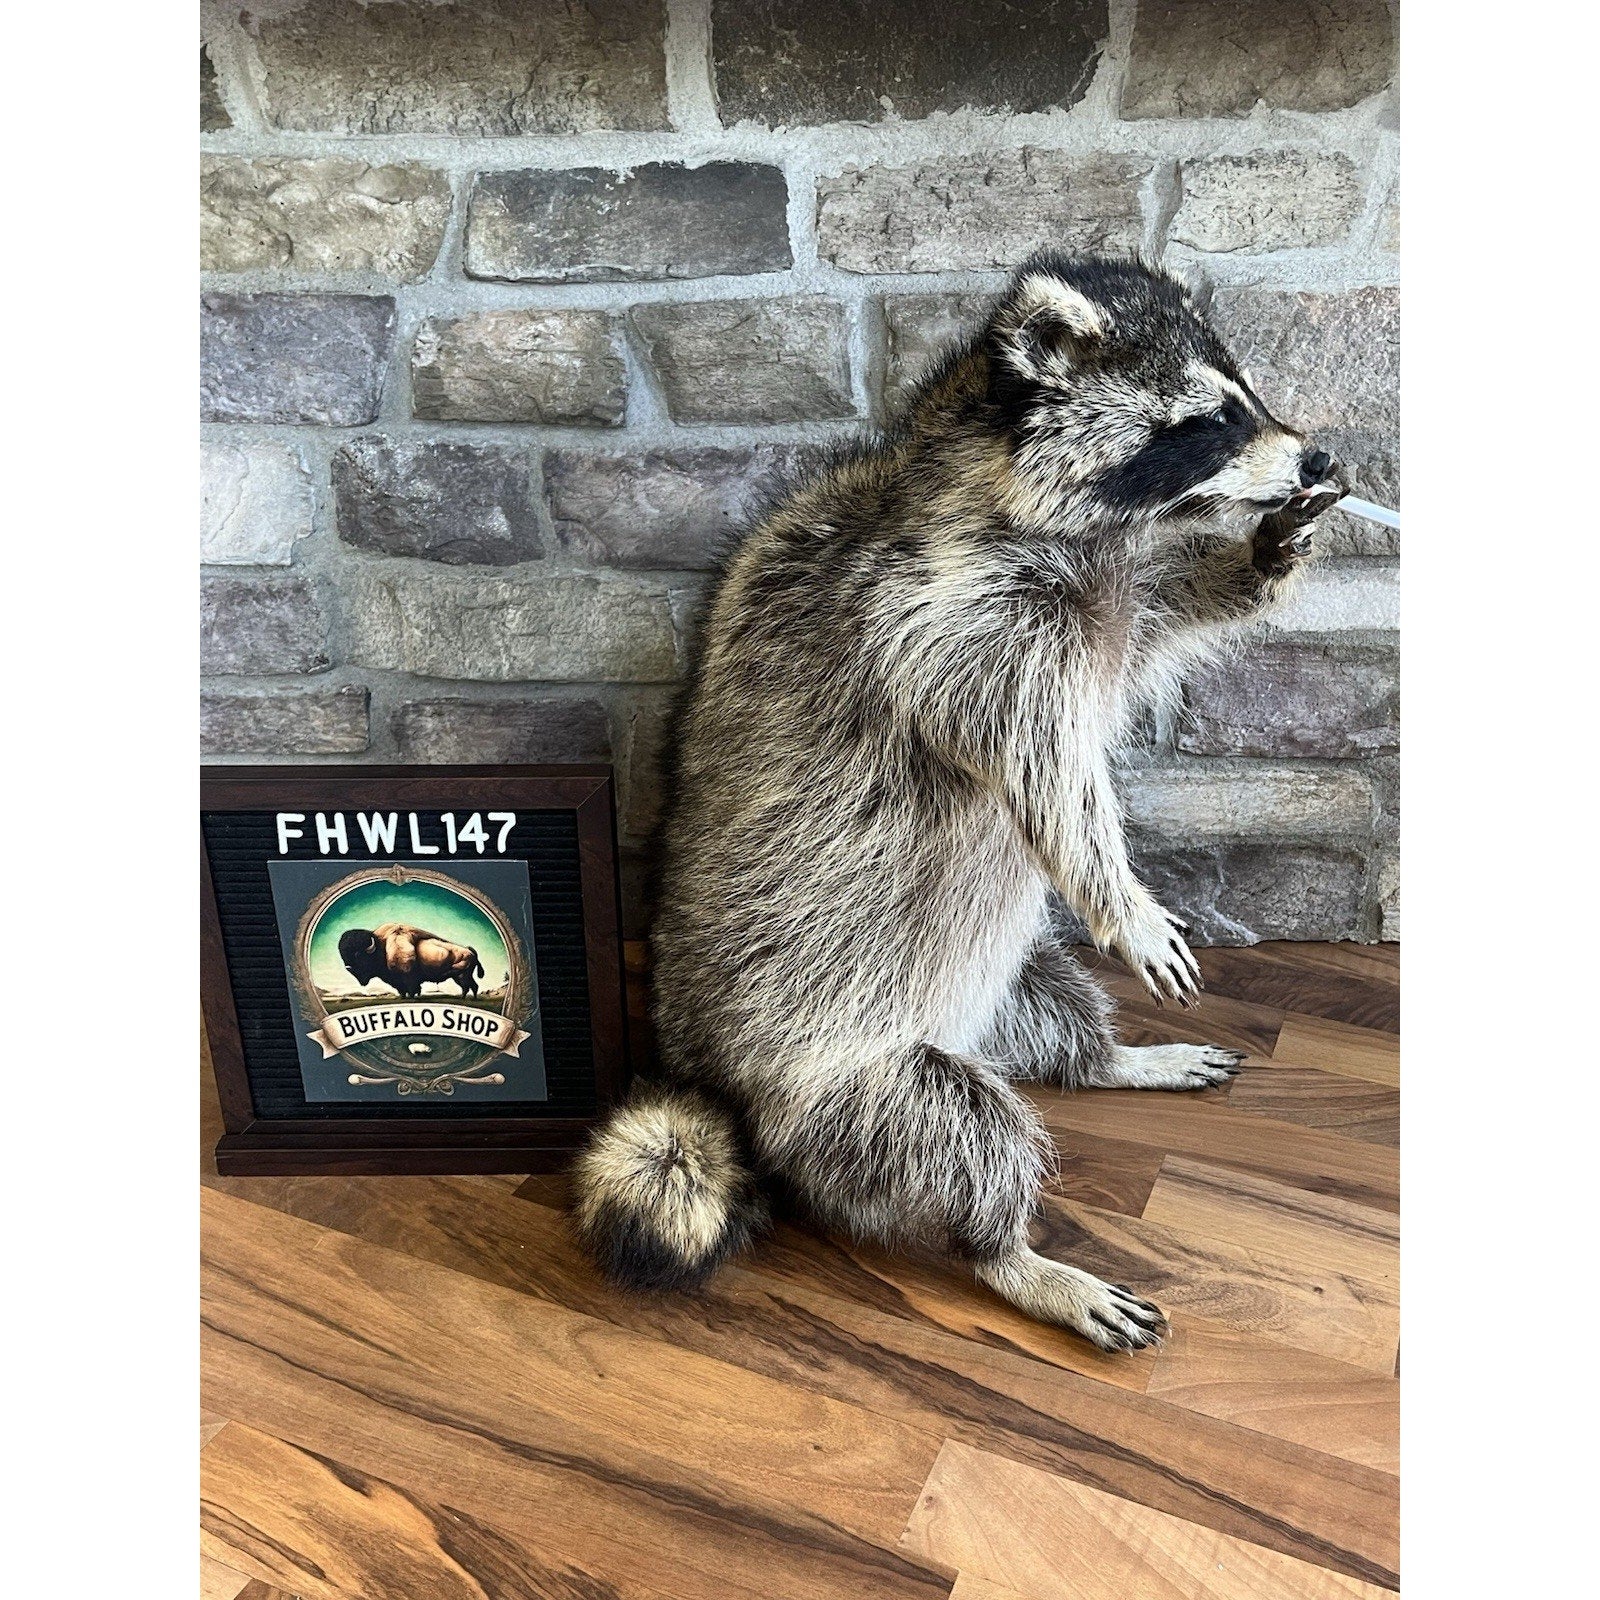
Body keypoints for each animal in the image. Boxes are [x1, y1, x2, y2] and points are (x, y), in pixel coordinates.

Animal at [573, 253, 1345, 1350]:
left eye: (1248, 399)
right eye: (1208, 422)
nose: (1313, 454)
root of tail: (717, 1092)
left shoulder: (1111, 604)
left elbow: (1181, 608)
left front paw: (1268, 551)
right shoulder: (944, 623)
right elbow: (1049, 775)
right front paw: (1120, 894)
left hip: (1006, 977)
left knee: (1053, 997)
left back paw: (1103, 1060)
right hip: (848, 1089)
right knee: (963, 1133)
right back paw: (1012, 1252)